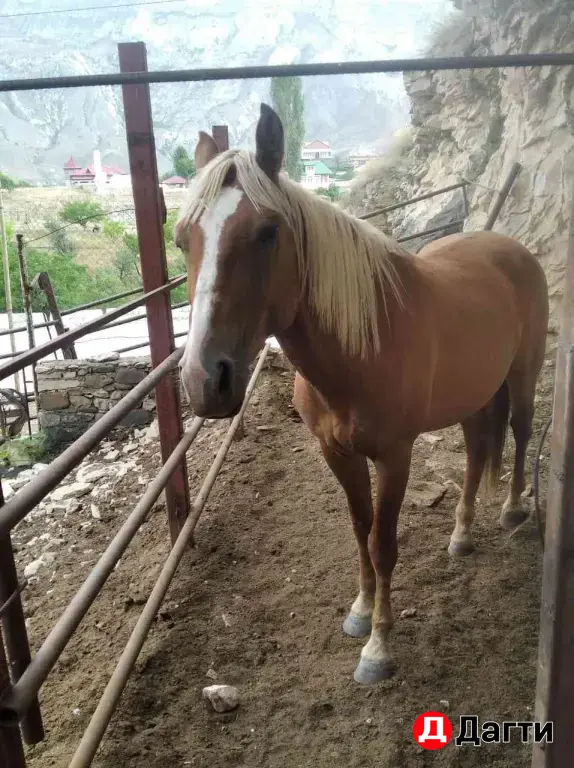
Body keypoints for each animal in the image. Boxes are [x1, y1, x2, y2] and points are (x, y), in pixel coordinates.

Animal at [175, 103, 549, 685]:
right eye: (181, 238)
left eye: (266, 232)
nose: (204, 381)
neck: (362, 346)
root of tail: (512, 249)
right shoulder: (336, 453)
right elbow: (359, 529)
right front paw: (359, 612)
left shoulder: (395, 457)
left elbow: (383, 542)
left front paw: (378, 647)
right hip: (472, 398)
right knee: (474, 455)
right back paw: (461, 536)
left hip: (524, 374)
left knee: (521, 429)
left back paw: (512, 510)